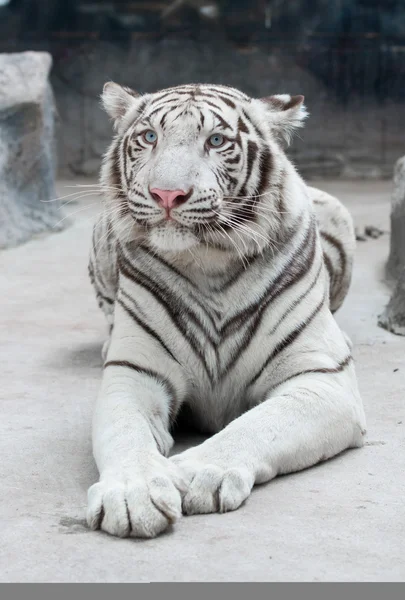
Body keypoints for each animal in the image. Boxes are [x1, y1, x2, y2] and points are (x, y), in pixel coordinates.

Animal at [87, 81, 364, 540]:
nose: (167, 194)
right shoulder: (134, 372)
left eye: (215, 141)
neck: (208, 264)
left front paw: (197, 474)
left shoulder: (322, 380)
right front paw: (133, 495)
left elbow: (258, 424)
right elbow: (124, 431)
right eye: (149, 137)